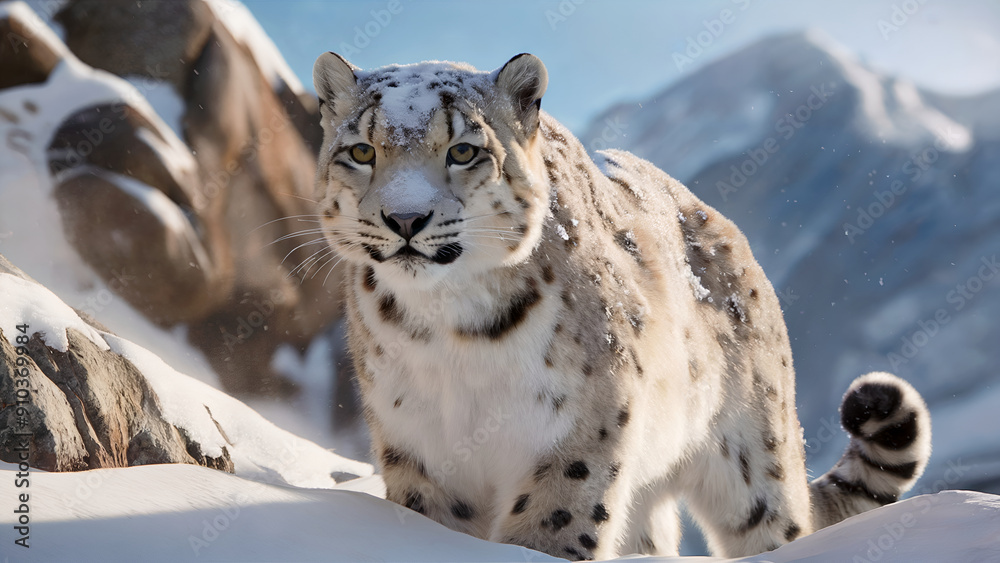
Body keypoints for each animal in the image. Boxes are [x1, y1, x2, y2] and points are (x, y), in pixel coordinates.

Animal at [310, 51, 932, 559]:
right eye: (361, 150)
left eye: (464, 149)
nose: (405, 218)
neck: (448, 333)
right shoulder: (418, 442)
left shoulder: (581, 421)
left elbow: (556, 518)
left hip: (755, 465)